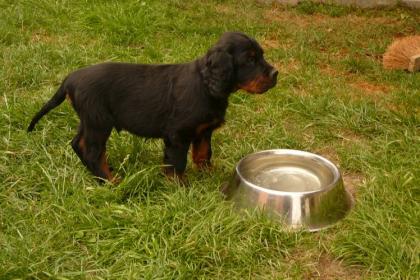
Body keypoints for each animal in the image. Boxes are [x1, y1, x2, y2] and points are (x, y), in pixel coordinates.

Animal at [28, 31, 278, 183]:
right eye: (250, 60)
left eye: (261, 55)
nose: (276, 74)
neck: (206, 84)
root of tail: (71, 78)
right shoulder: (178, 134)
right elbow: (177, 162)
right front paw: (180, 186)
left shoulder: (203, 131)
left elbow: (204, 154)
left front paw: (210, 176)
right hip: (99, 121)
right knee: (92, 151)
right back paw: (111, 181)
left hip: (89, 119)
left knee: (78, 143)